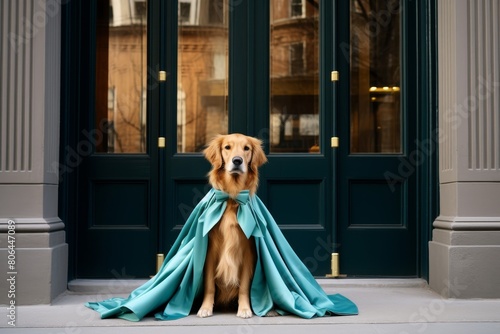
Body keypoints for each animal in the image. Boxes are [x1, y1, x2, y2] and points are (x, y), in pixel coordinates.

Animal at [198, 133, 270, 318]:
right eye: (227, 147)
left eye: (246, 148)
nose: (237, 161)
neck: (232, 197)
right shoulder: (210, 252)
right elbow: (209, 285)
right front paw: (205, 308)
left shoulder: (248, 252)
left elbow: (244, 286)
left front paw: (244, 309)